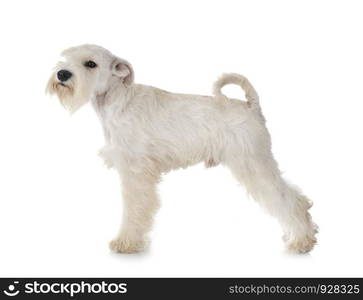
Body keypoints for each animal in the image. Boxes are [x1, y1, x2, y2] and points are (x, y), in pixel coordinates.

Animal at [46, 44, 318, 253]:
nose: (62, 74)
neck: (116, 100)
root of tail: (251, 105)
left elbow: (133, 210)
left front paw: (126, 242)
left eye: (90, 63)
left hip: (254, 165)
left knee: (290, 201)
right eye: (66, 57)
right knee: (298, 199)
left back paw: (301, 241)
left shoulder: (135, 174)